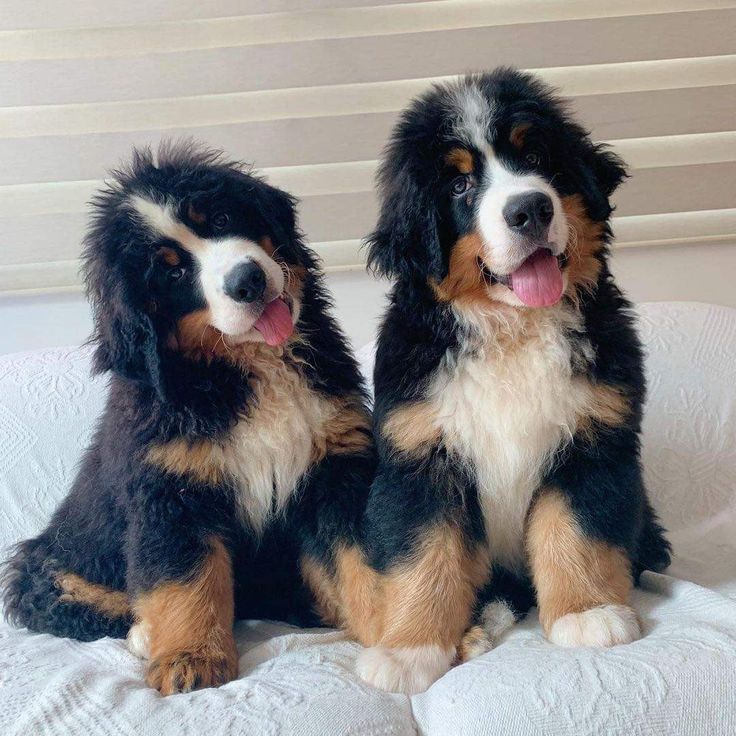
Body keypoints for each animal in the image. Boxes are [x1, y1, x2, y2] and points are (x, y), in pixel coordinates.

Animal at [1, 142, 374, 696]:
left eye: (220, 218)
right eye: (172, 273)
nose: (247, 280)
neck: (248, 367)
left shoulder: (333, 467)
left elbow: (360, 560)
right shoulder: (171, 491)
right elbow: (185, 581)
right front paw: (190, 658)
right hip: (46, 564)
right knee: (75, 600)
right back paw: (143, 633)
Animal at [356, 70, 672, 696]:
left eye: (536, 157)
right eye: (459, 185)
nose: (529, 208)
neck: (513, 331)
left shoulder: (592, 439)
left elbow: (574, 532)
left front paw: (588, 614)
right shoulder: (420, 456)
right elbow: (423, 556)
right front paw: (408, 649)